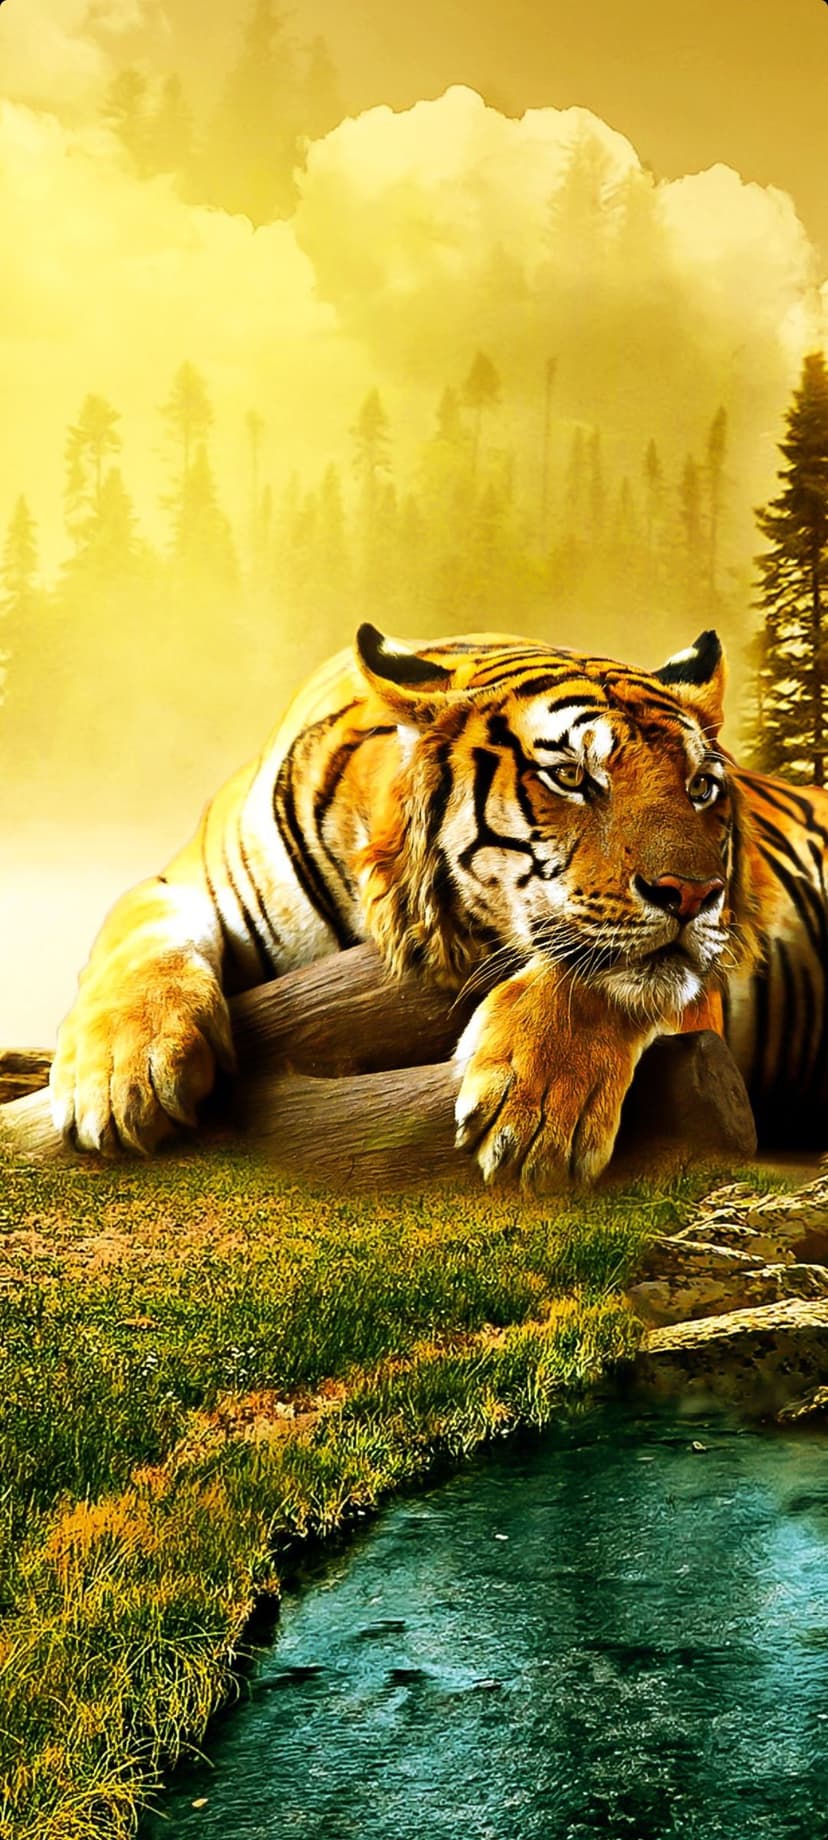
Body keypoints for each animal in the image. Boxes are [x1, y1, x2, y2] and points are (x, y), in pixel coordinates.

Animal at [48, 622, 828, 1187]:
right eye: (573, 777)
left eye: (700, 787)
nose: (695, 894)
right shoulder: (180, 882)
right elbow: (140, 939)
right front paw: (118, 1079)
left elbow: (601, 977)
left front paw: (535, 1107)